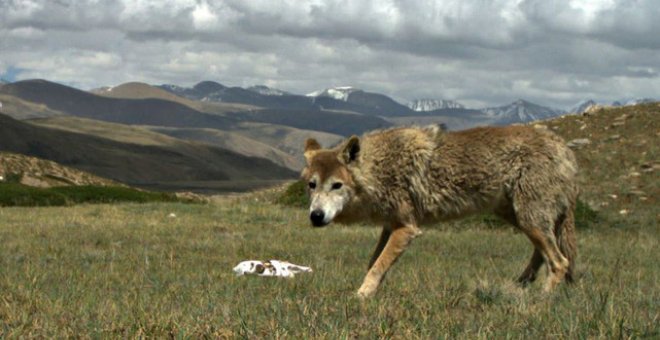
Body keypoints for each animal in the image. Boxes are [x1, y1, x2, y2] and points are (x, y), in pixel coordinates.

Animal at [302, 125, 580, 298]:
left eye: (336, 185)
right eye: (312, 185)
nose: (316, 216)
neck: (379, 170)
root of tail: (564, 148)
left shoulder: (407, 229)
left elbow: (377, 266)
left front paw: (361, 296)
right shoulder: (390, 227)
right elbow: (374, 263)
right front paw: (373, 292)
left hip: (529, 220)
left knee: (559, 262)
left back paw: (540, 300)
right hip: (522, 219)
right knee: (543, 256)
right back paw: (518, 288)